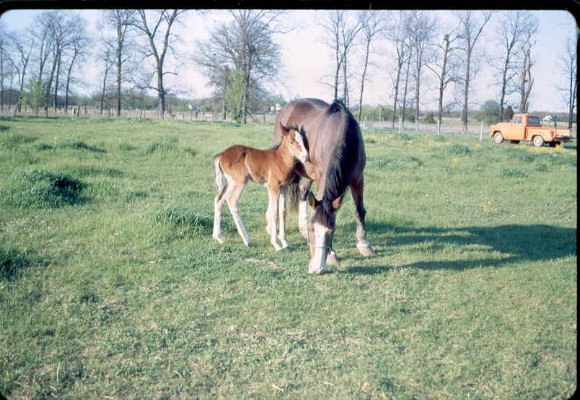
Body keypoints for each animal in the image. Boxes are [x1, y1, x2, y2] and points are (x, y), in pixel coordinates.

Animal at [213, 123, 310, 252]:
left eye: (302, 140)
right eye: (291, 141)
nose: (306, 156)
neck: (280, 160)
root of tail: (221, 155)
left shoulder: (284, 188)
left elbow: (283, 212)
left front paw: (285, 242)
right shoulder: (273, 187)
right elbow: (274, 212)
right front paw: (276, 244)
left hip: (230, 183)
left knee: (219, 200)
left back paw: (218, 237)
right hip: (239, 182)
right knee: (231, 201)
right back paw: (246, 240)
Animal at [274, 98, 376, 276]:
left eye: (331, 231)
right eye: (313, 230)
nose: (316, 268)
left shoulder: (358, 178)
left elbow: (360, 210)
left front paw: (364, 244)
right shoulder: (321, 175)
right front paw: (332, 255)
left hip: (307, 174)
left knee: (303, 195)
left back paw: (301, 227)